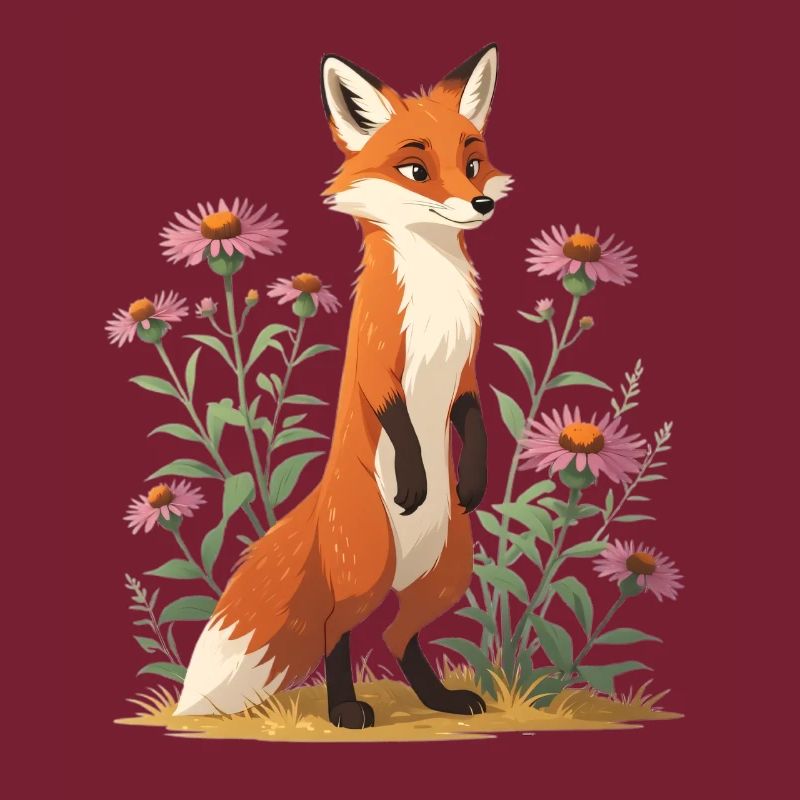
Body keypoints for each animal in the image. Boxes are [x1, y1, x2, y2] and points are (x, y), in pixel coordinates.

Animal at [175, 43, 512, 728]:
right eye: (416, 169)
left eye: (472, 163)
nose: (480, 204)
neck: (434, 296)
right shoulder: (378, 363)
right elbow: (398, 418)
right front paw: (414, 477)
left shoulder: (466, 370)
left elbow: (472, 416)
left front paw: (472, 479)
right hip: (369, 568)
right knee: (338, 631)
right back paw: (345, 709)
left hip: (446, 576)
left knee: (398, 637)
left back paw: (440, 699)